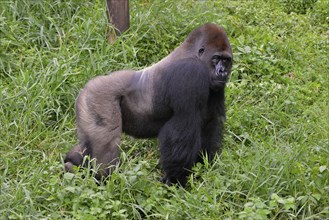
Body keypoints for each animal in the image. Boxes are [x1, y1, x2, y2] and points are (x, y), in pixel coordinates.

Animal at [64, 22, 232, 186]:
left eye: (226, 60)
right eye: (216, 58)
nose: (222, 71)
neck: (193, 53)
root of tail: (87, 86)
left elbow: (210, 124)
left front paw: (202, 167)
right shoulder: (190, 73)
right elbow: (182, 130)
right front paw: (175, 180)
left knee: (88, 144)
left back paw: (72, 162)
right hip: (97, 98)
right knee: (106, 147)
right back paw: (103, 180)